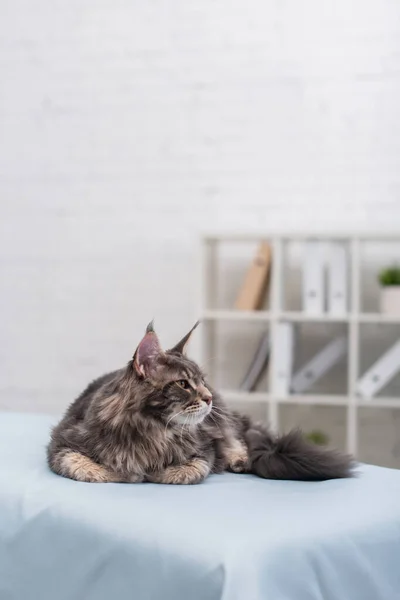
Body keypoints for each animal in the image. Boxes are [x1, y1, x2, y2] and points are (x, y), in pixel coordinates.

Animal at [47, 322, 354, 486]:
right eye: (184, 384)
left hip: (223, 421)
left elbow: (186, 471)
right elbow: (82, 466)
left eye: (202, 380)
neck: (152, 431)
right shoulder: (62, 441)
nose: (207, 397)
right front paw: (126, 472)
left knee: (237, 437)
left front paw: (152, 472)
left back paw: (238, 460)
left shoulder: (204, 449)